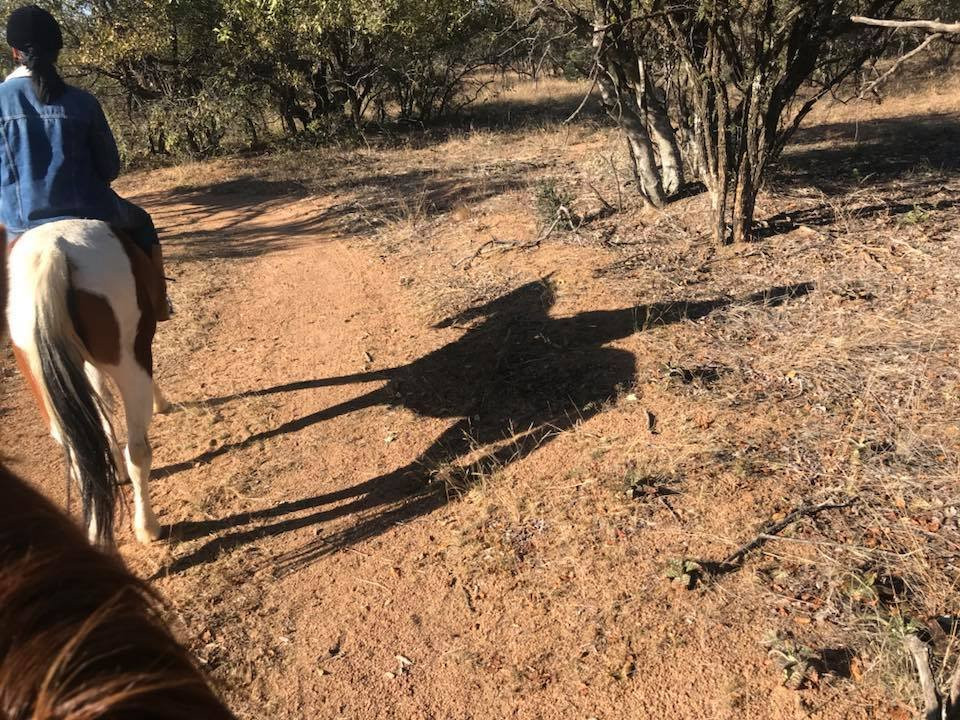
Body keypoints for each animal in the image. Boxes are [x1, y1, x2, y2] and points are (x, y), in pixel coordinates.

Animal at [5, 219, 169, 544]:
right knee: (138, 451)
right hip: (130, 362)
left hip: (42, 380)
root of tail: (54, 250)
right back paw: (147, 527)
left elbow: (100, 402)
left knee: (80, 459)